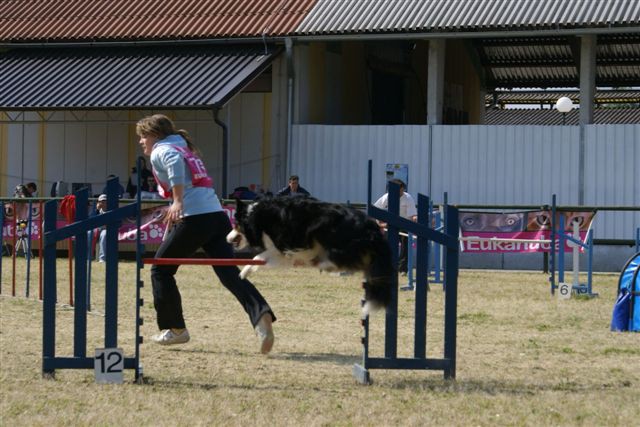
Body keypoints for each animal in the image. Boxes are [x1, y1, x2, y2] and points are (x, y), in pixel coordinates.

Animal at [225, 196, 396, 310]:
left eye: (236, 224)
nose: (227, 238)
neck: (254, 217)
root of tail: (372, 226)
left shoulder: (282, 246)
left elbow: (260, 256)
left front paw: (244, 272)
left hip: (326, 232)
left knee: (344, 259)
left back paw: (324, 263)